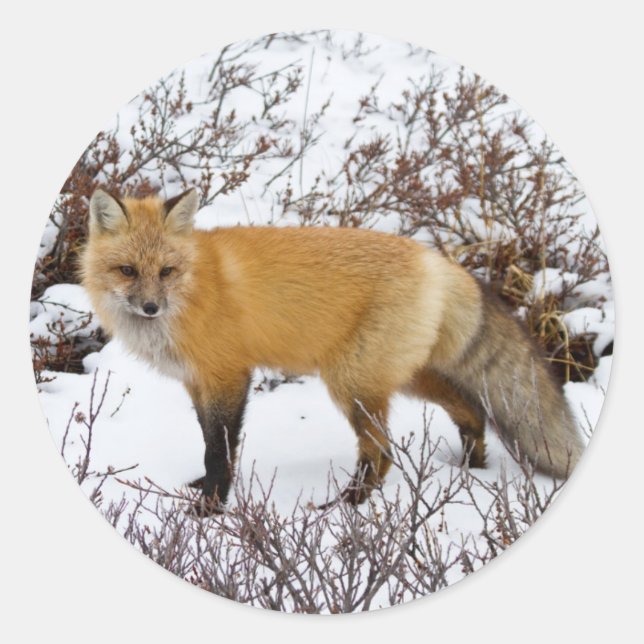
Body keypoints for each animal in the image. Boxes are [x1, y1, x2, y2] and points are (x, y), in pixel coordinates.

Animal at [80, 187, 584, 515]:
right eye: (127, 270)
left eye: (166, 271)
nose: (150, 307)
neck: (195, 290)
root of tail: (437, 260)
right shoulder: (197, 383)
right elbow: (209, 441)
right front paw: (204, 490)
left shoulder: (228, 375)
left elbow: (219, 449)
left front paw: (210, 508)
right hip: (401, 376)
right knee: (470, 409)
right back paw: (471, 467)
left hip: (351, 383)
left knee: (382, 452)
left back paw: (348, 506)